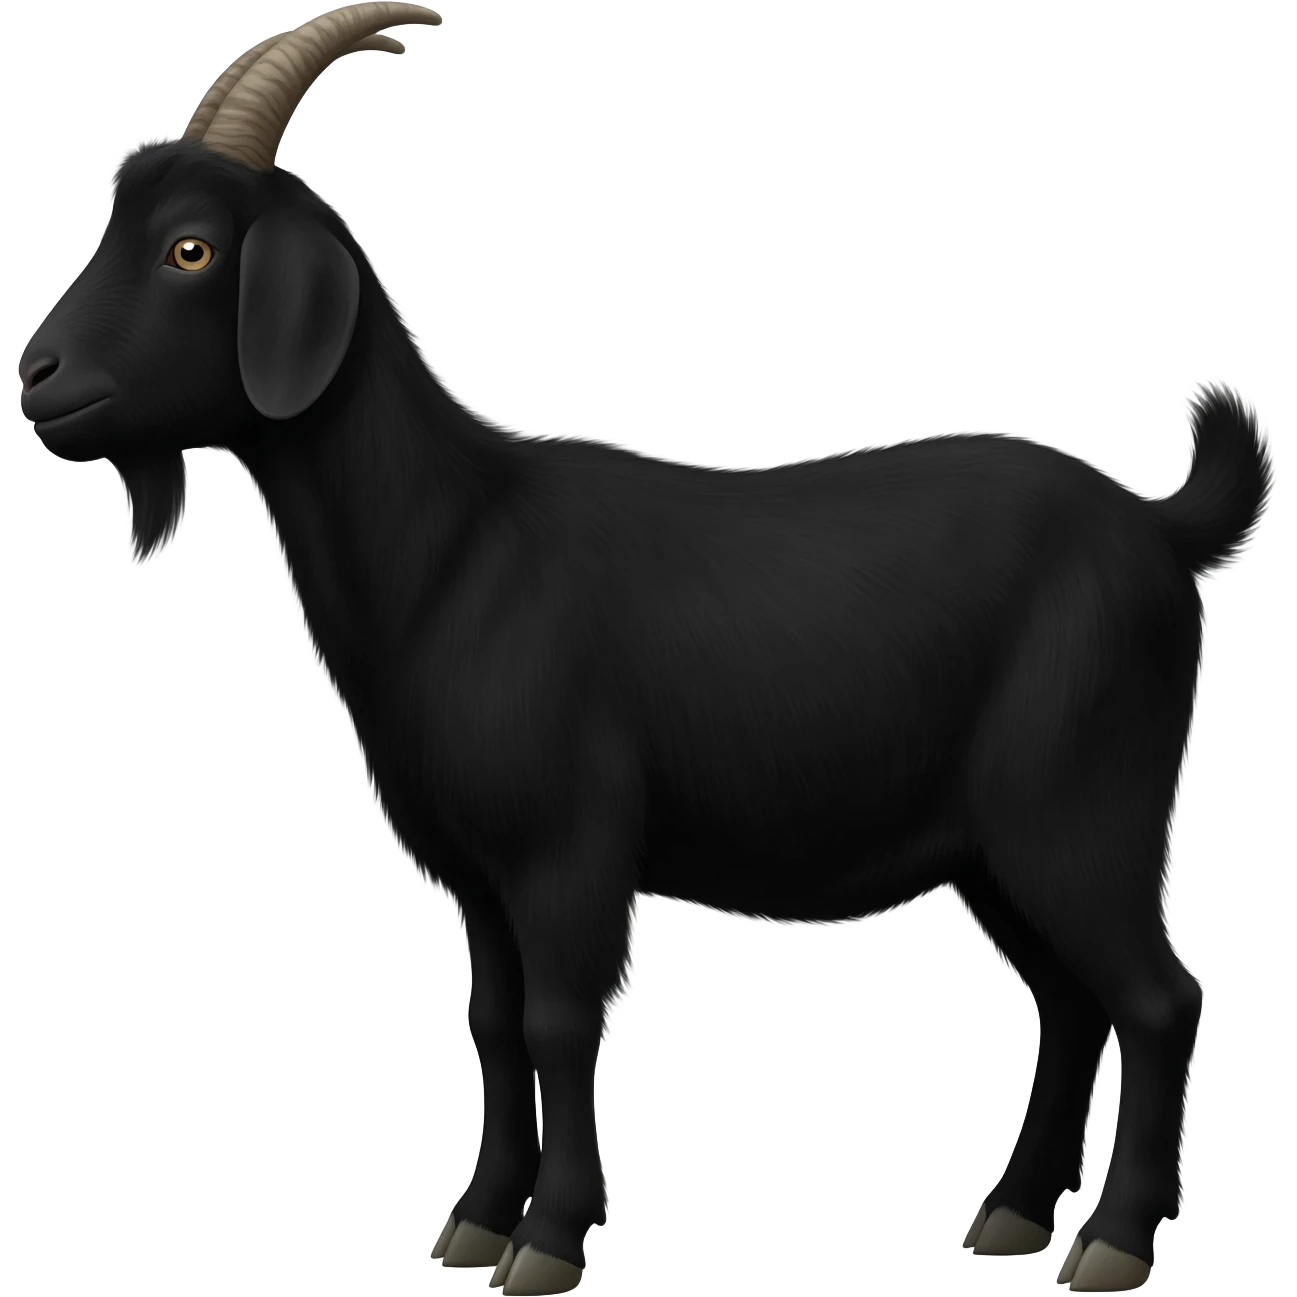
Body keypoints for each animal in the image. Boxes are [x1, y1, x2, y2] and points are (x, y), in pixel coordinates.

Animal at [18, 5, 1277, 1294]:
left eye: (190, 249)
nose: (37, 375)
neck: (454, 547)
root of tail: (1155, 525)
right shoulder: (477, 870)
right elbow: (492, 1020)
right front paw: (477, 1218)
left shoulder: (566, 844)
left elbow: (560, 1022)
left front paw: (549, 1236)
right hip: (995, 844)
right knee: (1070, 1003)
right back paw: (1015, 1214)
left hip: (1081, 809)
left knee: (1158, 997)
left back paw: (1114, 1238)